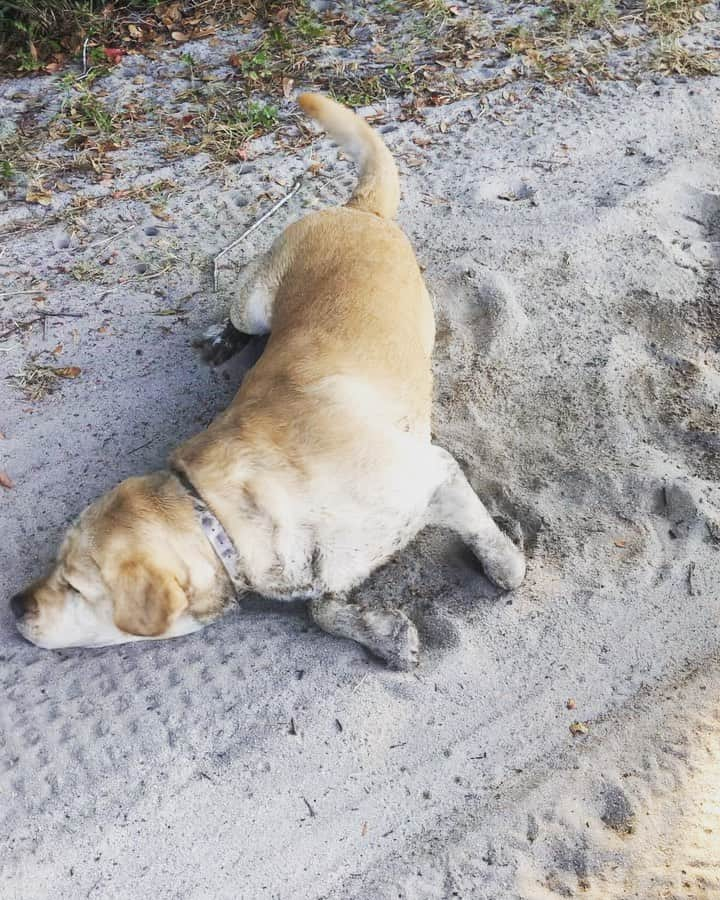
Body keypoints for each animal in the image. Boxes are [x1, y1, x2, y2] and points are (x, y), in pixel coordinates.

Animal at [9, 93, 524, 668]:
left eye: (74, 586)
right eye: (55, 565)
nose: (15, 604)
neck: (215, 512)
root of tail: (356, 208)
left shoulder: (437, 471)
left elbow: (481, 531)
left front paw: (506, 563)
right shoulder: (324, 569)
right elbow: (323, 609)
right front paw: (383, 632)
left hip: (266, 295)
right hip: (255, 305)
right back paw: (221, 341)